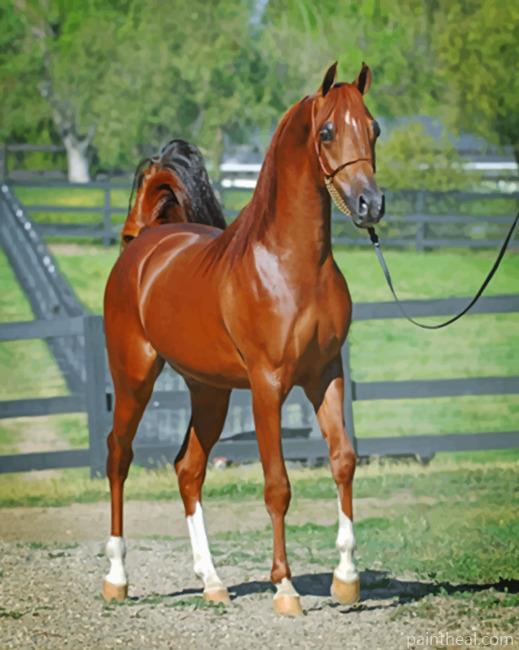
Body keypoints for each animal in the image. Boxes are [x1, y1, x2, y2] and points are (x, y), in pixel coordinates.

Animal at [102, 62, 385, 617]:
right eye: (326, 131)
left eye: (374, 129)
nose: (371, 204)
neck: (292, 267)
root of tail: (144, 243)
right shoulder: (267, 387)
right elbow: (277, 485)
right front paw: (285, 588)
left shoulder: (325, 376)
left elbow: (343, 461)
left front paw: (346, 579)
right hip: (134, 378)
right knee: (118, 457)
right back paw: (117, 577)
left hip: (209, 392)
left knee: (188, 469)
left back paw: (212, 582)